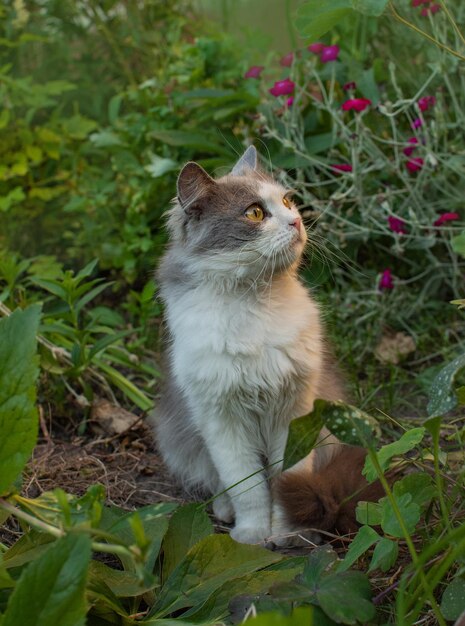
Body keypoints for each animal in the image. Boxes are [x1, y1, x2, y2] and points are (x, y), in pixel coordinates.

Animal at [152, 145, 344, 540]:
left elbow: (288, 478)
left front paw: (288, 532)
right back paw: (226, 513)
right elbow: (248, 487)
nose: (296, 222)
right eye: (254, 213)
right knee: (217, 484)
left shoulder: (294, 411)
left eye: (287, 201)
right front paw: (254, 534)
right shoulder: (221, 419)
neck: (254, 301)